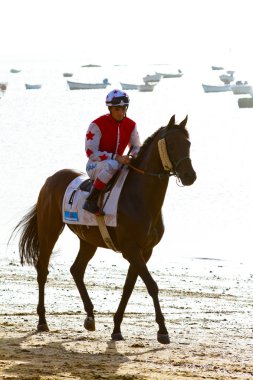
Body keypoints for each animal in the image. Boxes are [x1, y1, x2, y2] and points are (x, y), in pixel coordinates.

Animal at [10, 113, 197, 344]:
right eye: (171, 144)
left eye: (188, 143)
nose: (190, 176)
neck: (141, 198)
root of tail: (51, 179)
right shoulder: (131, 249)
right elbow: (151, 285)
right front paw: (162, 330)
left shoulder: (144, 251)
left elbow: (128, 287)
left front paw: (116, 328)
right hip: (49, 230)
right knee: (42, 270)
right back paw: (42, 321)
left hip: (88, 240)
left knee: (76, 270)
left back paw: (90, 317)